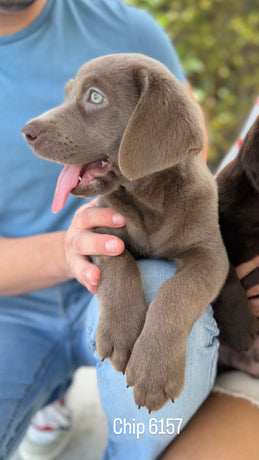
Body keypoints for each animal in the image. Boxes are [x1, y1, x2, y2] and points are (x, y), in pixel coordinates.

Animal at [22, 54, 230, 410]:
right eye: (67, 93)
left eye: (95, 97)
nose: (27, 131)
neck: (149, 199)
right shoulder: (100, 229)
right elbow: (119, 264)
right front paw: (120, 334)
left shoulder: (210, 255)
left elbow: (176, 291)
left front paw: (153, 370)